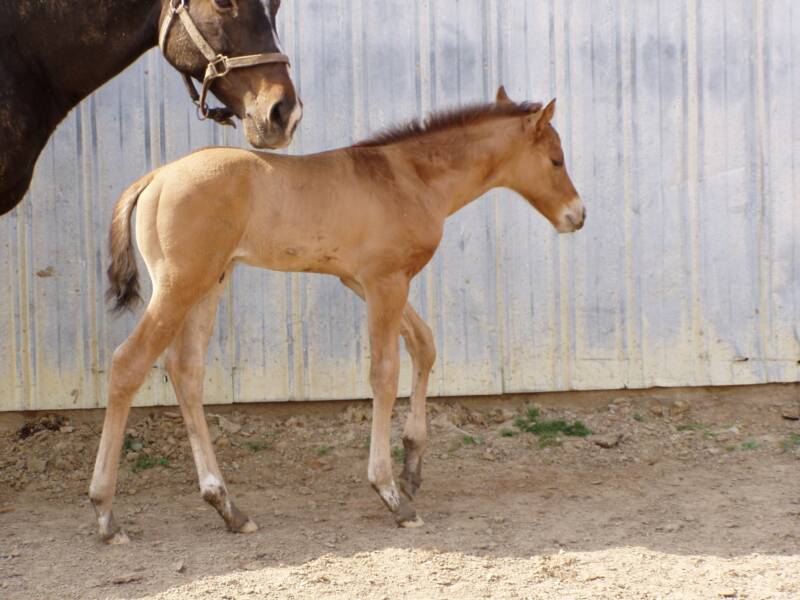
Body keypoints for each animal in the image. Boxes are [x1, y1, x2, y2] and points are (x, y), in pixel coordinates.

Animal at [90, 85, 584, 544]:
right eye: (556, 160)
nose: (577, 216)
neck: (410, 177)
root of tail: (154, 177)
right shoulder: (385, 281)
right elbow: (384, 373)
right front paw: (391, 494)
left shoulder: (364, 281)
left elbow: (424, 345)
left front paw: (412, 467)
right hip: (180, 284)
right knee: (129, 363)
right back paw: (106, 513)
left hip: (210, 283)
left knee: (185, 370)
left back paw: (227, 506)